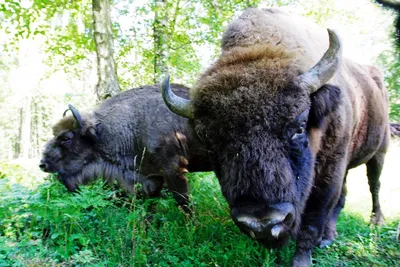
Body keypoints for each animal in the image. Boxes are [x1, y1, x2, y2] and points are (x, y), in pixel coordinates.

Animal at [162, 7, 394, 266]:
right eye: (209, 142)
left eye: (300, 126)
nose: (263, 223)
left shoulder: (330, 172)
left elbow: (313, 219)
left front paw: (301, 259)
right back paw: (328, 236)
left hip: (379, 153)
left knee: (374, 184)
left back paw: (374, 222)